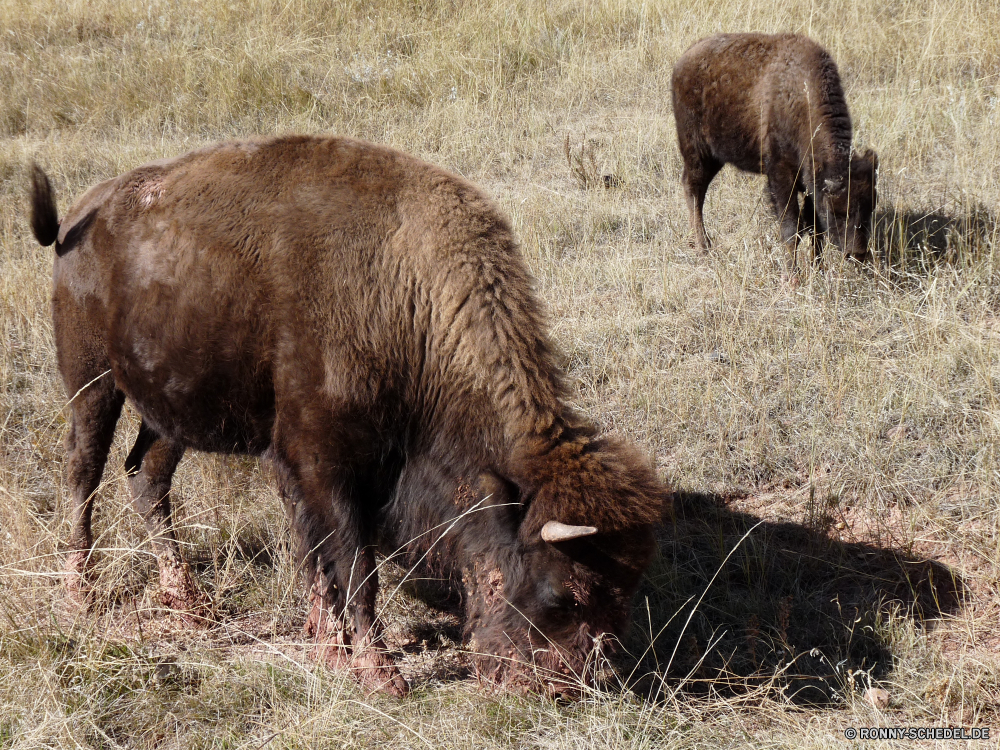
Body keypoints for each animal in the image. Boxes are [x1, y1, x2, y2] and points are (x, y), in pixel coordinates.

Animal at [31, 135, 668, 700]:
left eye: (623, 595)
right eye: (564, 592)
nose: (565, 689)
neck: (407, 298)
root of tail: (81, 216)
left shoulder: (304, 467)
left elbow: (317, 557)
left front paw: (327, 647)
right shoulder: (327, 466)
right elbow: (357, 568)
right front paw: (380, 673)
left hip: (170, 410)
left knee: (147, 477)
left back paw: (189, 607)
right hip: (91, 381)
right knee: (83, 471)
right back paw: (81, 595)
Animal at [672, 33, 876, 266]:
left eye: (871, 206)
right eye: (835, 212)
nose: (858, 253)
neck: (801, 97)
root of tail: (685, 59)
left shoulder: (810, 184)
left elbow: (814, 228)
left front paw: (818, 267)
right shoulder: (781, 175)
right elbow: (791, 228)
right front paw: (792, 273)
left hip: (714, 158)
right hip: (697, 152)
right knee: (694, 191)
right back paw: (704, 248)